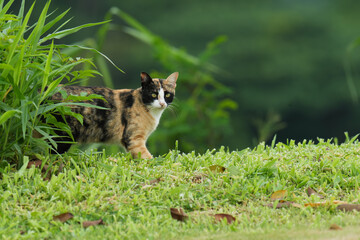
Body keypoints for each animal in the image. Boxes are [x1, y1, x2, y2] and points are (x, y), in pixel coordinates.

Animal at [49, 71, 179, 158]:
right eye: (153, 94)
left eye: (167, 95)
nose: (162, 103)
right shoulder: (134, 139)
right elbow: (147, 159)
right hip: (61, 136)